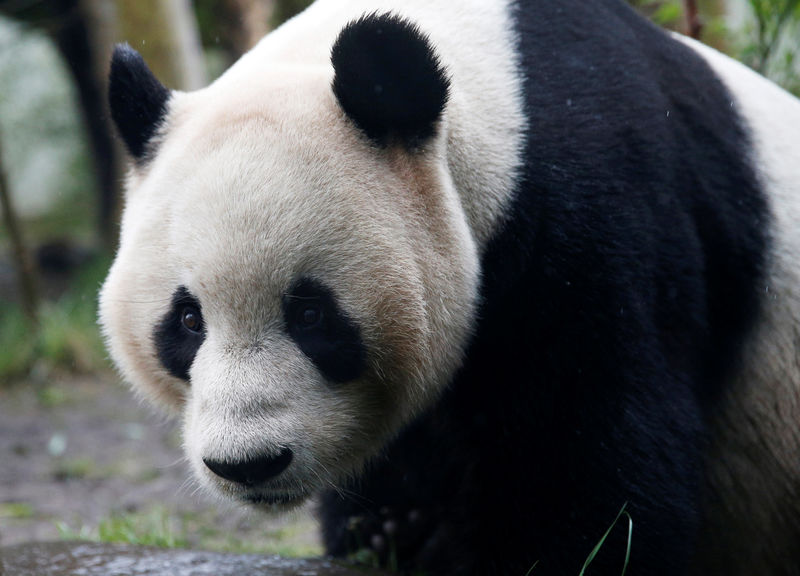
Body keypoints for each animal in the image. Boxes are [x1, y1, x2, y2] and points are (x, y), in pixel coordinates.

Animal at [100, 1, 800, 576]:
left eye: (311, 315)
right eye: (187, 321)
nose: (248, 463)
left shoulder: (603, 213)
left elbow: (596, 459)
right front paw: (392, 533)